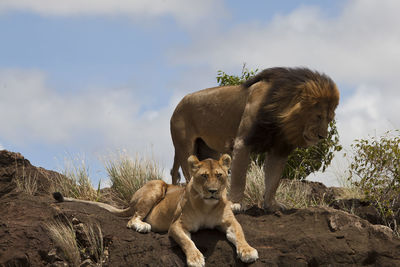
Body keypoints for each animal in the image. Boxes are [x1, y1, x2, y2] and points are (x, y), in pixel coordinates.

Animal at [52, 155, 256, 267]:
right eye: (204, 176)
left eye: (219, 175)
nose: (213, 191)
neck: (208, 205)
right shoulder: (177, 225)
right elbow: (187, 242)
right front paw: (196, 258)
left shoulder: (231, 222)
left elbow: (240, 235)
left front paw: (248, 251)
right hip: (157, 185)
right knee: (132, 219)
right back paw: (143, 226)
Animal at [170, 66, 340, 211]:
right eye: (318, 116)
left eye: (329, 119)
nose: (322, 136)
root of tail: (178, 105)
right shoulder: (242, 142)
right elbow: (239, 177)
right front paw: (236, 204)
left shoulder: (279, 149)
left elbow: (273, 180)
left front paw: (271, 205)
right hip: (185, 148)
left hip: (208, 150)